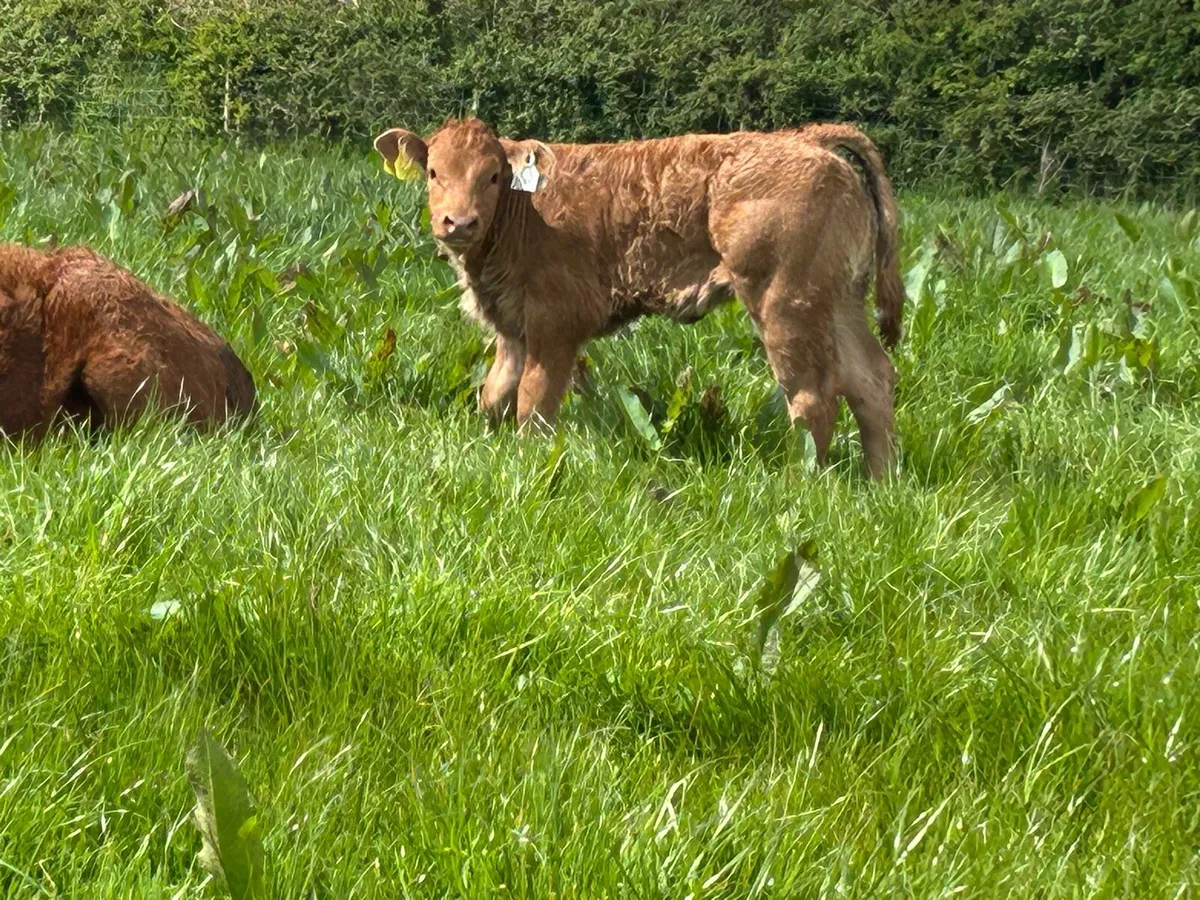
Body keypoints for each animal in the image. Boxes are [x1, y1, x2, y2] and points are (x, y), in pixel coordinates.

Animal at [373, 117, 904, 478]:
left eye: (493, 177)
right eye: (433, 172)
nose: (459, 222)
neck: (521, 216)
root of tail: (804, 138)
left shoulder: (555, 325)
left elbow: (532, 402)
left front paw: (532, 463)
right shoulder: (512, 327)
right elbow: (494, 395)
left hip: (785, 303)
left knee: (813, 396)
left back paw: (800, 482)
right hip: (839, 299)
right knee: (870, 380)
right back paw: (879, 481)